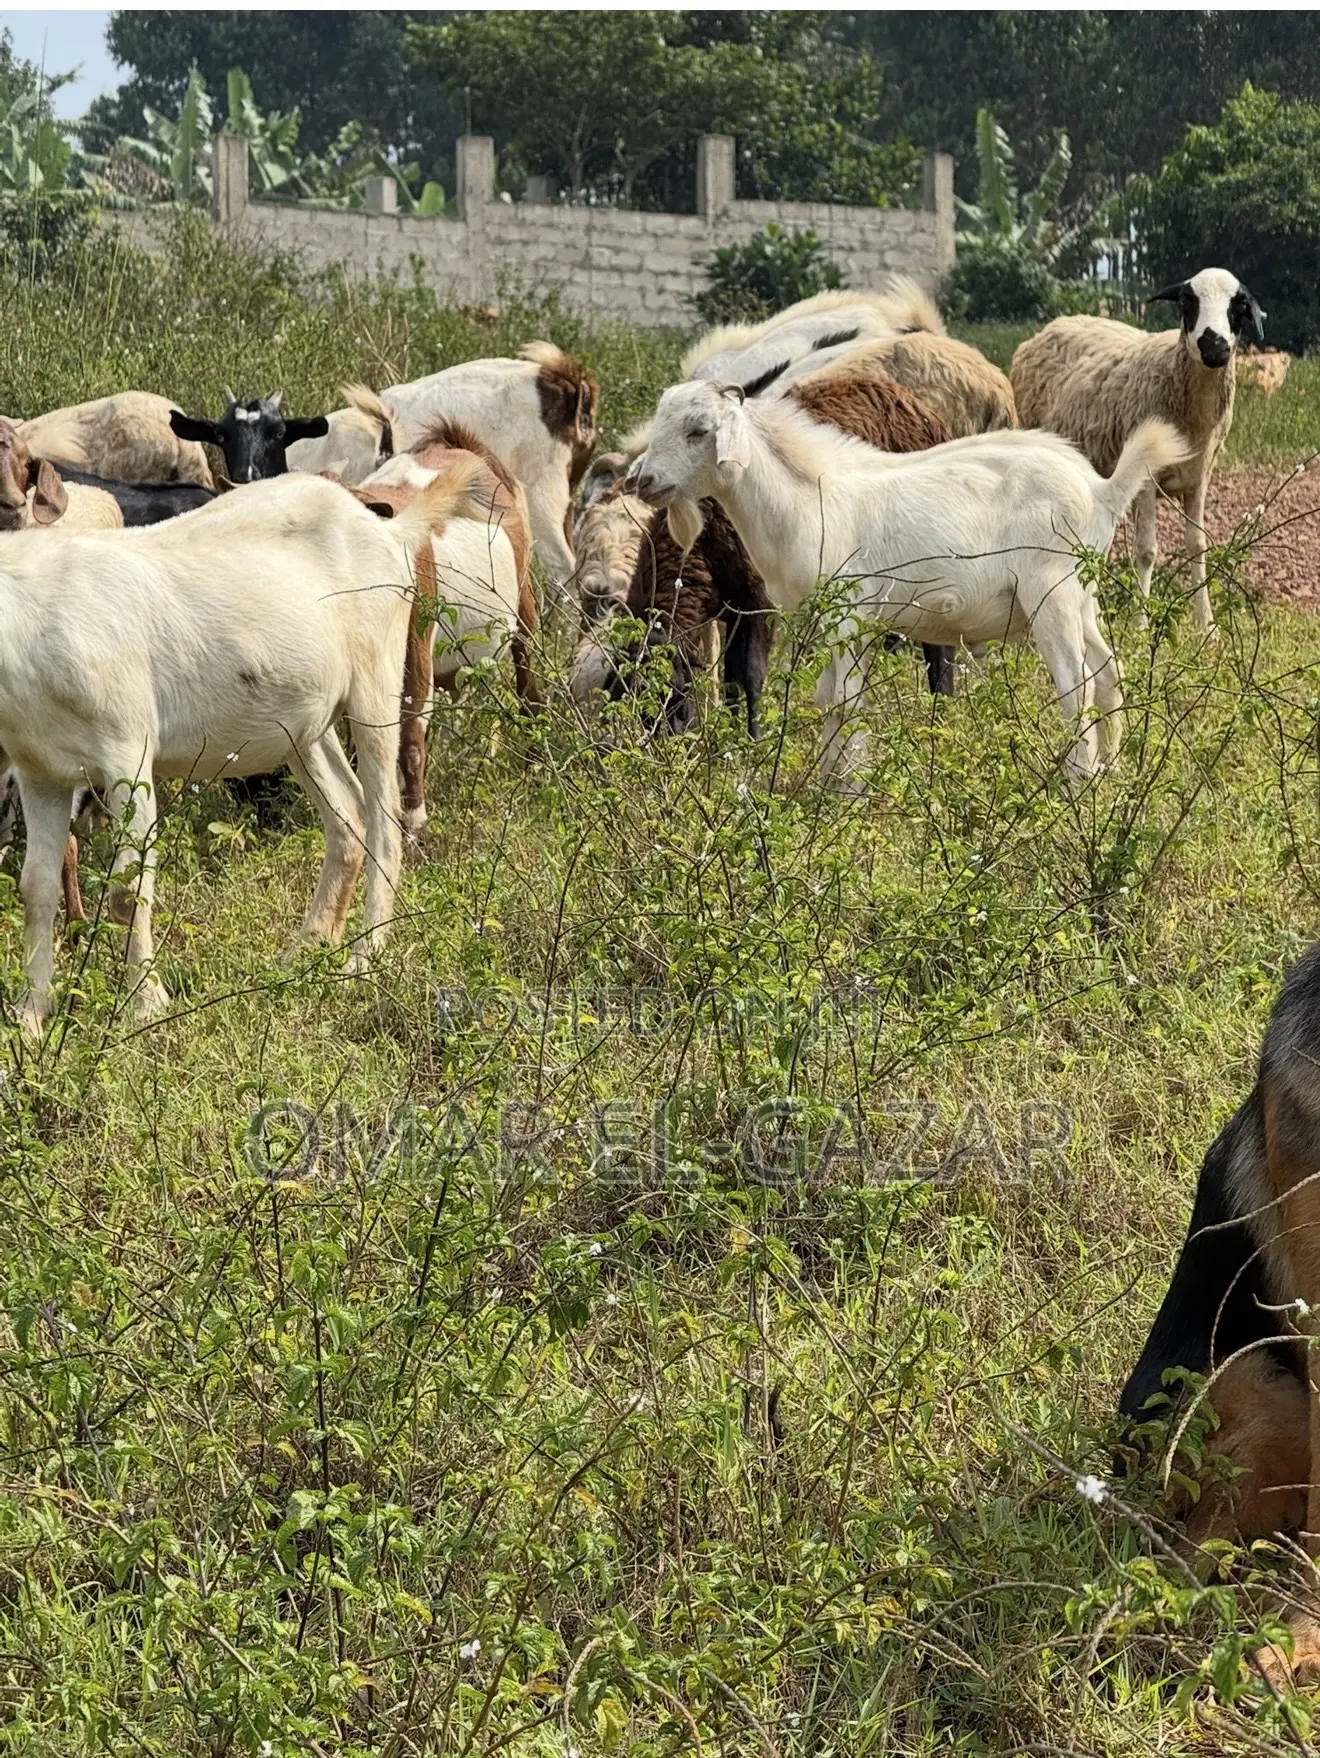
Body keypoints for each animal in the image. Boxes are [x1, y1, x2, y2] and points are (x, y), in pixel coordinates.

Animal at [0, 463, 482, 1034]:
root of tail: (388, 530)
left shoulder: (125, 753)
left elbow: (126, 887)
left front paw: (145, 1007)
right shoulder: (41, 772)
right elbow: (36, 888)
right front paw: (30, 1018)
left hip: (377, 680)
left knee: (386, 821)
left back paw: (364, 960)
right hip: (303, 725)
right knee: (348, 815)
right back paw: (305, 950)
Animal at [572, 369, 959, 734]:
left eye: (675, 695)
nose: (663, 744)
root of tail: (903, 397)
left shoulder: (760, 599)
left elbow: (751, 675)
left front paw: (754, 739)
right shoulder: (730, 606)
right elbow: (730, 679)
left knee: (939, 646)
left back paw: (942, 708)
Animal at [635, 382, 1190, 784]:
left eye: (698, 430)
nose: (643, 480)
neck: (807, 498)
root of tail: (1101, 490)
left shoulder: (851, 615)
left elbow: (846, 702)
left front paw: (849, 793)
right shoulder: (828, 622)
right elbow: (828, 699)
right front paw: (822, 786)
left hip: (1051, 595)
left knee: (1076, 686)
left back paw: (1076, 783)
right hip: (1083, 598)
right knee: (1109, 673)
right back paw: (1112, 772)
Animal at [1009, 267, 1264, 632]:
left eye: (1239, 304)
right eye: (1187, 300)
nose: (1214, 346)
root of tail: (1056, 323)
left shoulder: (1200, 476)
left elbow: (1197, 545)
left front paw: (1206, 624)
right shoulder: (1146, 479)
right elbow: (1146, 550)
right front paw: (1141, 623)